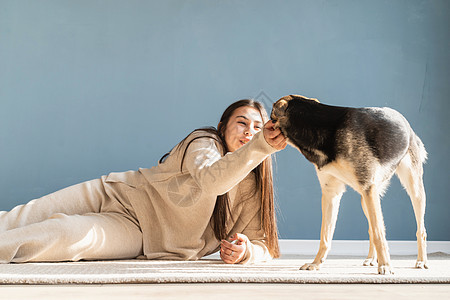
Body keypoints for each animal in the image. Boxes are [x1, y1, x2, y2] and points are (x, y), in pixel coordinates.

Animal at [270, 94, 428, 274]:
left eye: (271, 117)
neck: (319, 127)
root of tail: (407, 125)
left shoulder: (367, 189)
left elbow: (379, 234)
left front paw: (386, 266)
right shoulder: (332, 193)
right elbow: (325, 236)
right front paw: (316, 263)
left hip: (413, 189)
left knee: (420, 230)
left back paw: (421, 260)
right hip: (366, 199)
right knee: (371, 228)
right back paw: (371, 259)